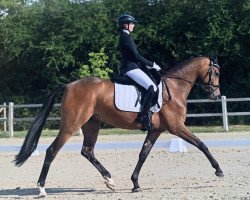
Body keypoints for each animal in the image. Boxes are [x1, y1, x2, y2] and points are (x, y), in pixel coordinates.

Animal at [14, 55, 224, 197]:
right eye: (216, 73)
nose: (215, 95)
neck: (173, 88)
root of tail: (69, 85)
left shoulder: (155, 130)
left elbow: (143, 154)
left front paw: (135, 183)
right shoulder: (177, 127)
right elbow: (201, 144)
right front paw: (218, 170)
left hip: (92, 124)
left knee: (87, 151)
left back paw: (110, 181)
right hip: (71, 125)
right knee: (52, 150)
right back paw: (41, 188)